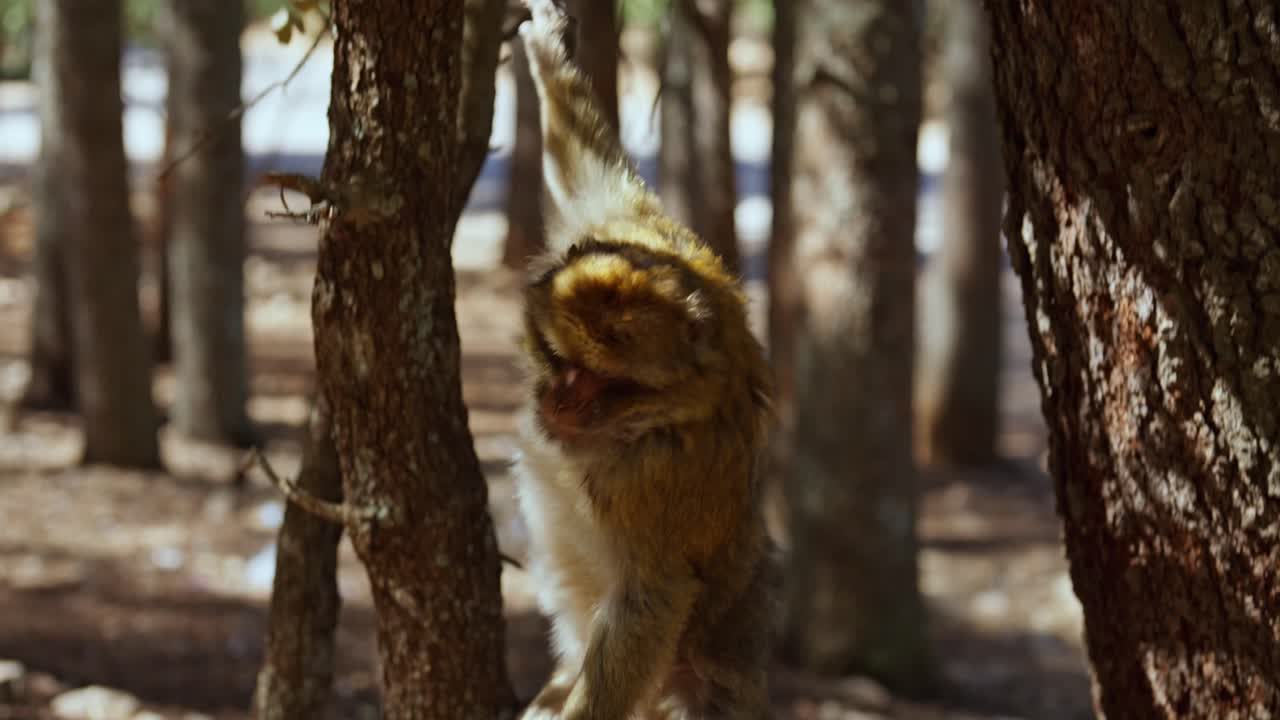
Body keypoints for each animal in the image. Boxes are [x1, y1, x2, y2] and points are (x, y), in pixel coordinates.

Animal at [510, 1, 779, 718]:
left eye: (606, 381)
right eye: (560, 358)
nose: (562, 400)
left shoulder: (656, 476)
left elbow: (654, 598)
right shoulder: (621, 228)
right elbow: (589, 170)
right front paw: (548, 51)